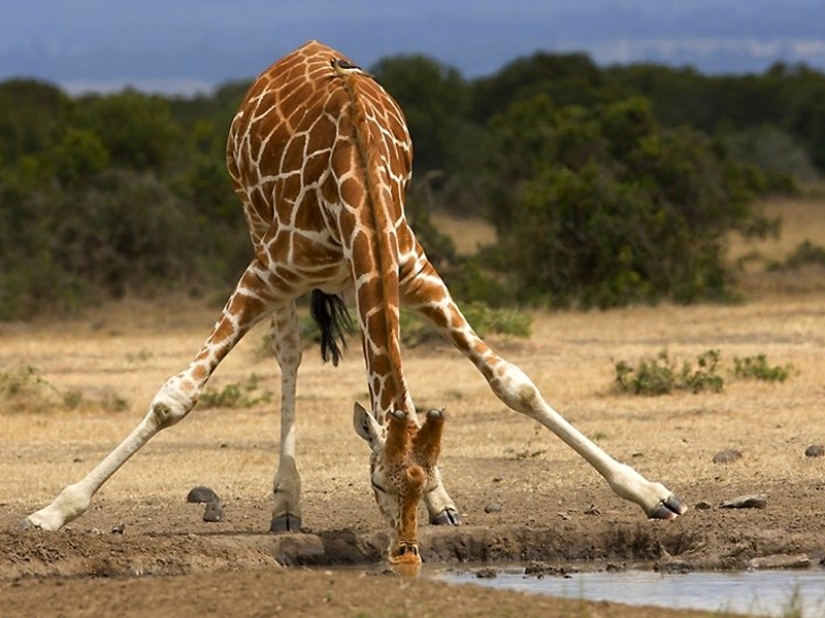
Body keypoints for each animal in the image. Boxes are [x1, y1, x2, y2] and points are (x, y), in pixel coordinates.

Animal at [23, 40, 686, 565]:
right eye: (377, 487)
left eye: (408, 485)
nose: (406, 553)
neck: (357, 175)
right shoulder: (266, 273)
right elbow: (174, 399)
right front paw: (52, 512)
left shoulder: (415, 273)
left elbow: (513, 384)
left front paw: (654, 495)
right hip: (259, 233)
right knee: (289, 355)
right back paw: (286, 505)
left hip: (351, 277)